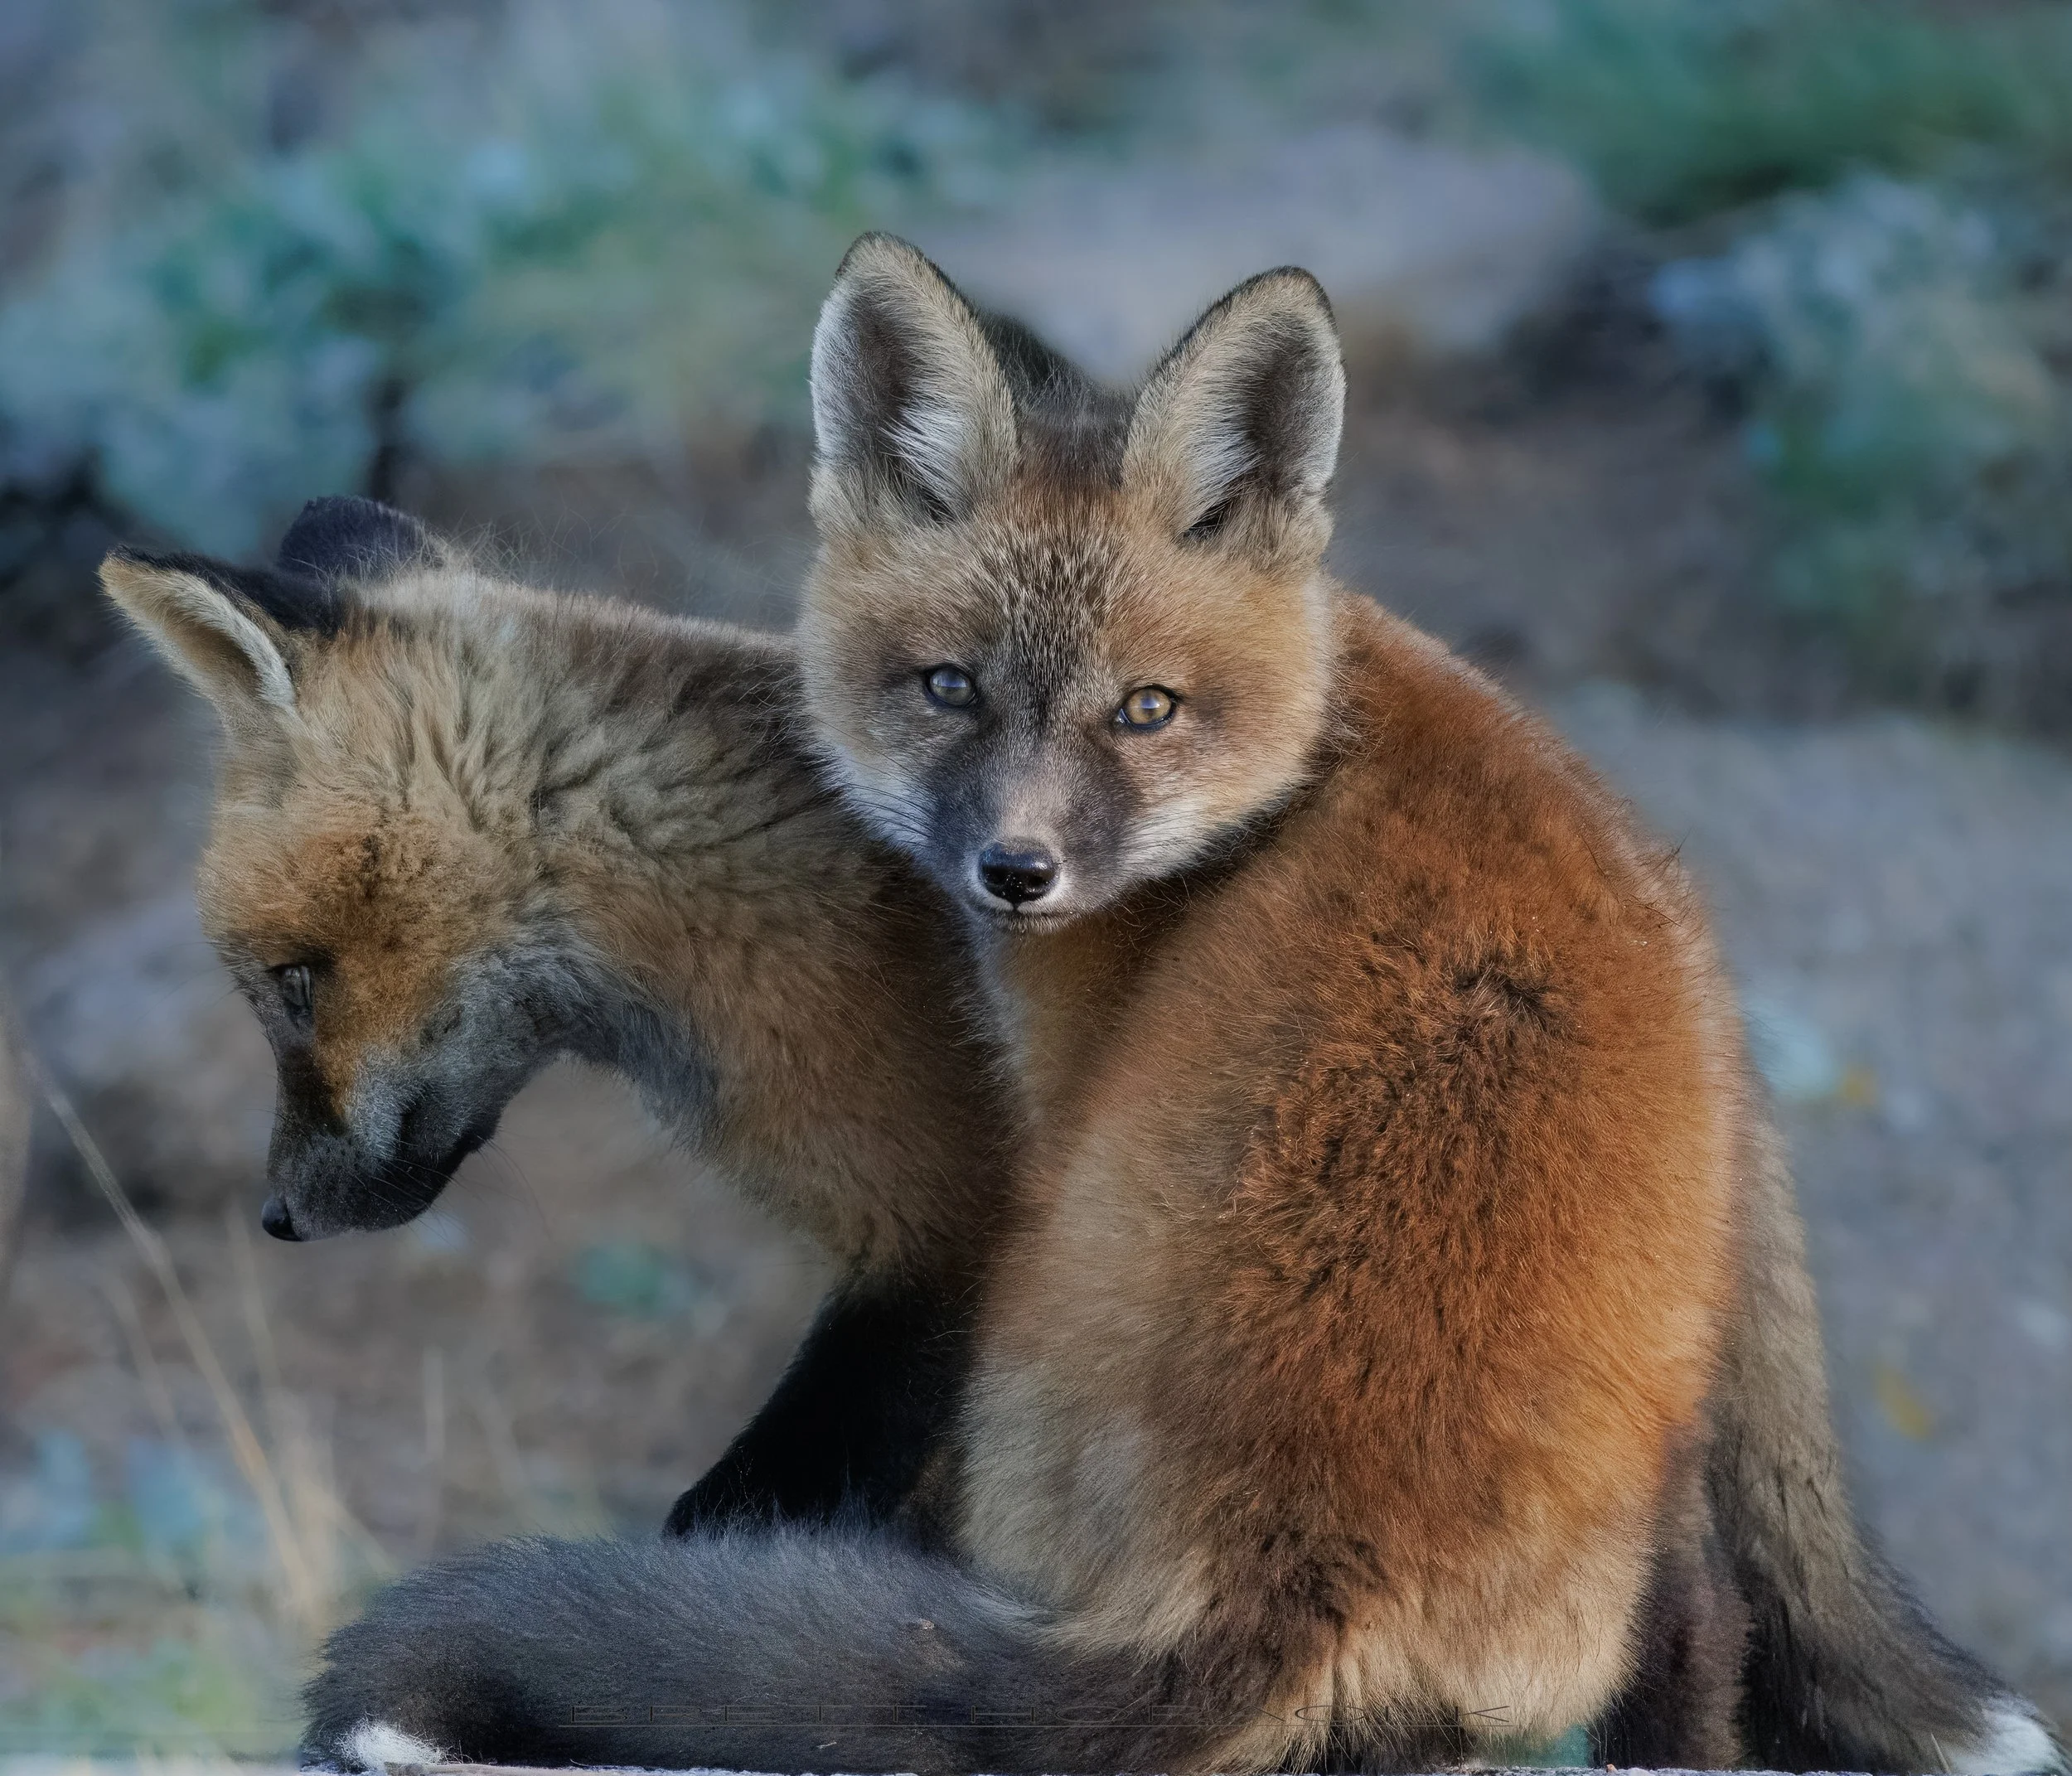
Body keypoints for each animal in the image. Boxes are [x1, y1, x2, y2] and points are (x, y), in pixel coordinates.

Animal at [299, 242, 2066, 1776]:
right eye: (949, 687)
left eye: (1143, 708)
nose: (1015, 870)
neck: (1328, 720)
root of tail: (1290, 1564)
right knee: (1681, 1627)